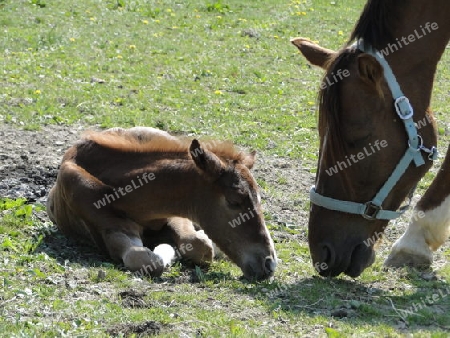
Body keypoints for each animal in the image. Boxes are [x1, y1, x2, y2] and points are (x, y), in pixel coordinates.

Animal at [46, 127, 278, 280]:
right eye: (234, 201)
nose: (269, 264)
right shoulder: (110, 228)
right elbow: (146, 260)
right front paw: (165, 248)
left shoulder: (177, 214)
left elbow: (199, 244)